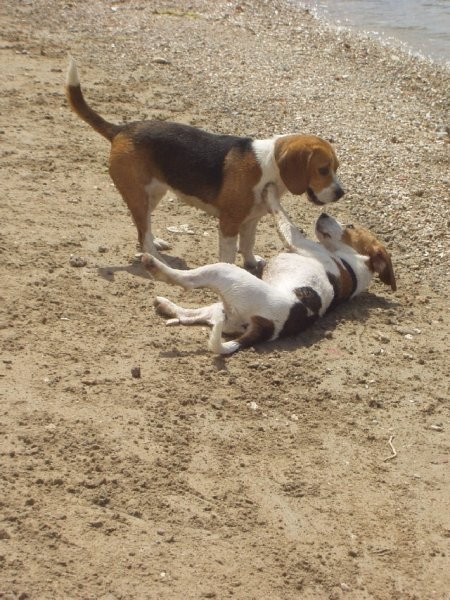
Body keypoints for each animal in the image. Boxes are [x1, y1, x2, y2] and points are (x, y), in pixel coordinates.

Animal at [66, 58, 344, 270]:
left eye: (336, 168)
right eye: (322, 170)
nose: (341, 193)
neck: (268, 168)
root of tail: (121, 130)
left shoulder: (251, 220)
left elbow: (248, 245)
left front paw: (252, 263)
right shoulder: (229, 224)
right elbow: (229, 254)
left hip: (152, 194)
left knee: (143, 227)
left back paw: (156, 243)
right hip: (138, 194)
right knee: (143, 233)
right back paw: (155, 257)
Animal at [142, 190, 394, 354]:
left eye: (350, 226)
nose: (323, 214)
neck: (353, 266)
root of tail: (267, 328)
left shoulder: (296, 240)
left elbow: (282, 216)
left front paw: (271, 194)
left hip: (226, 274)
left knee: (187, 280)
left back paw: (154, 265)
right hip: (223, 310)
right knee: (191, 315)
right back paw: (166, 306)